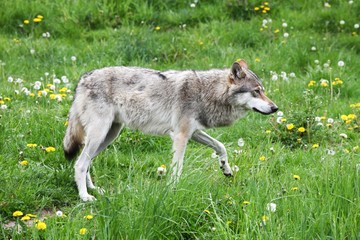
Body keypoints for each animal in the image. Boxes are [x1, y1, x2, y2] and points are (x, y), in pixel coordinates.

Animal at [64, 59, 278, 201]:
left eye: (263, 91)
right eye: (256, 91)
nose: (275, 108)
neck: (206, 92)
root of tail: (81, 80)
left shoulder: (193, 133)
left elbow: (221, 146)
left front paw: (225, 168)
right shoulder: (181, 136)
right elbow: (177, 169)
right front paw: (173, 191)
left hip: (108, 136)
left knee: (86, 161)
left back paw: (93, 189)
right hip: (100, 134)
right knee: (80, 163)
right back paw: (85, 197)